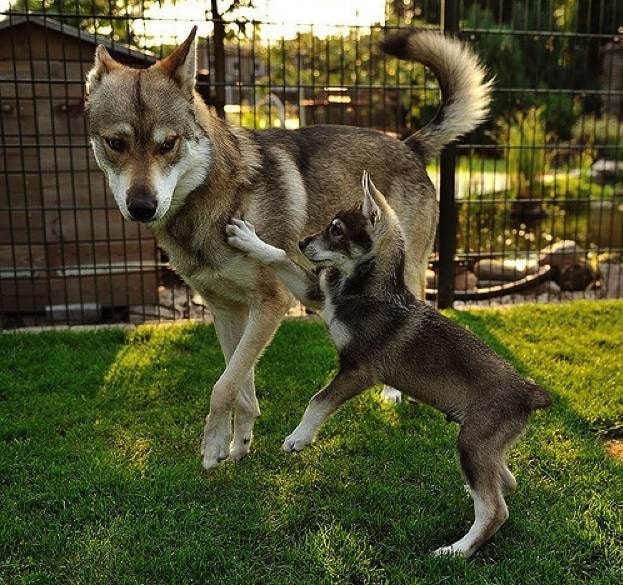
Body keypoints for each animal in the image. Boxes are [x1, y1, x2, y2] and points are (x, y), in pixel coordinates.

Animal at [84, 26, 492, 470]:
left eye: (168, 144)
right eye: (115, 143)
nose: (142, 207)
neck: (213, 201)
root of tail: (409, 145)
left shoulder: (271, 304)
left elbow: (222, 386)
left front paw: (212, 446)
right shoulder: (227, 310)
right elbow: (239, 383)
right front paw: (239, 442)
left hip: (408, 273)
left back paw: (392, 391)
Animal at [224, 170, 552, 556]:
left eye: (336, 230)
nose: (303, 243)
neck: (363, 289)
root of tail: (528, 393)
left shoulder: (359, 370)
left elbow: (318, 401)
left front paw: (298, 438)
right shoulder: (317, 295)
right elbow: (279, 258)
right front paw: (248, 238)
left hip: (473, 442)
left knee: (494, 510)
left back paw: (457, 550)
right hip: (485, 447)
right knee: (507, 482)